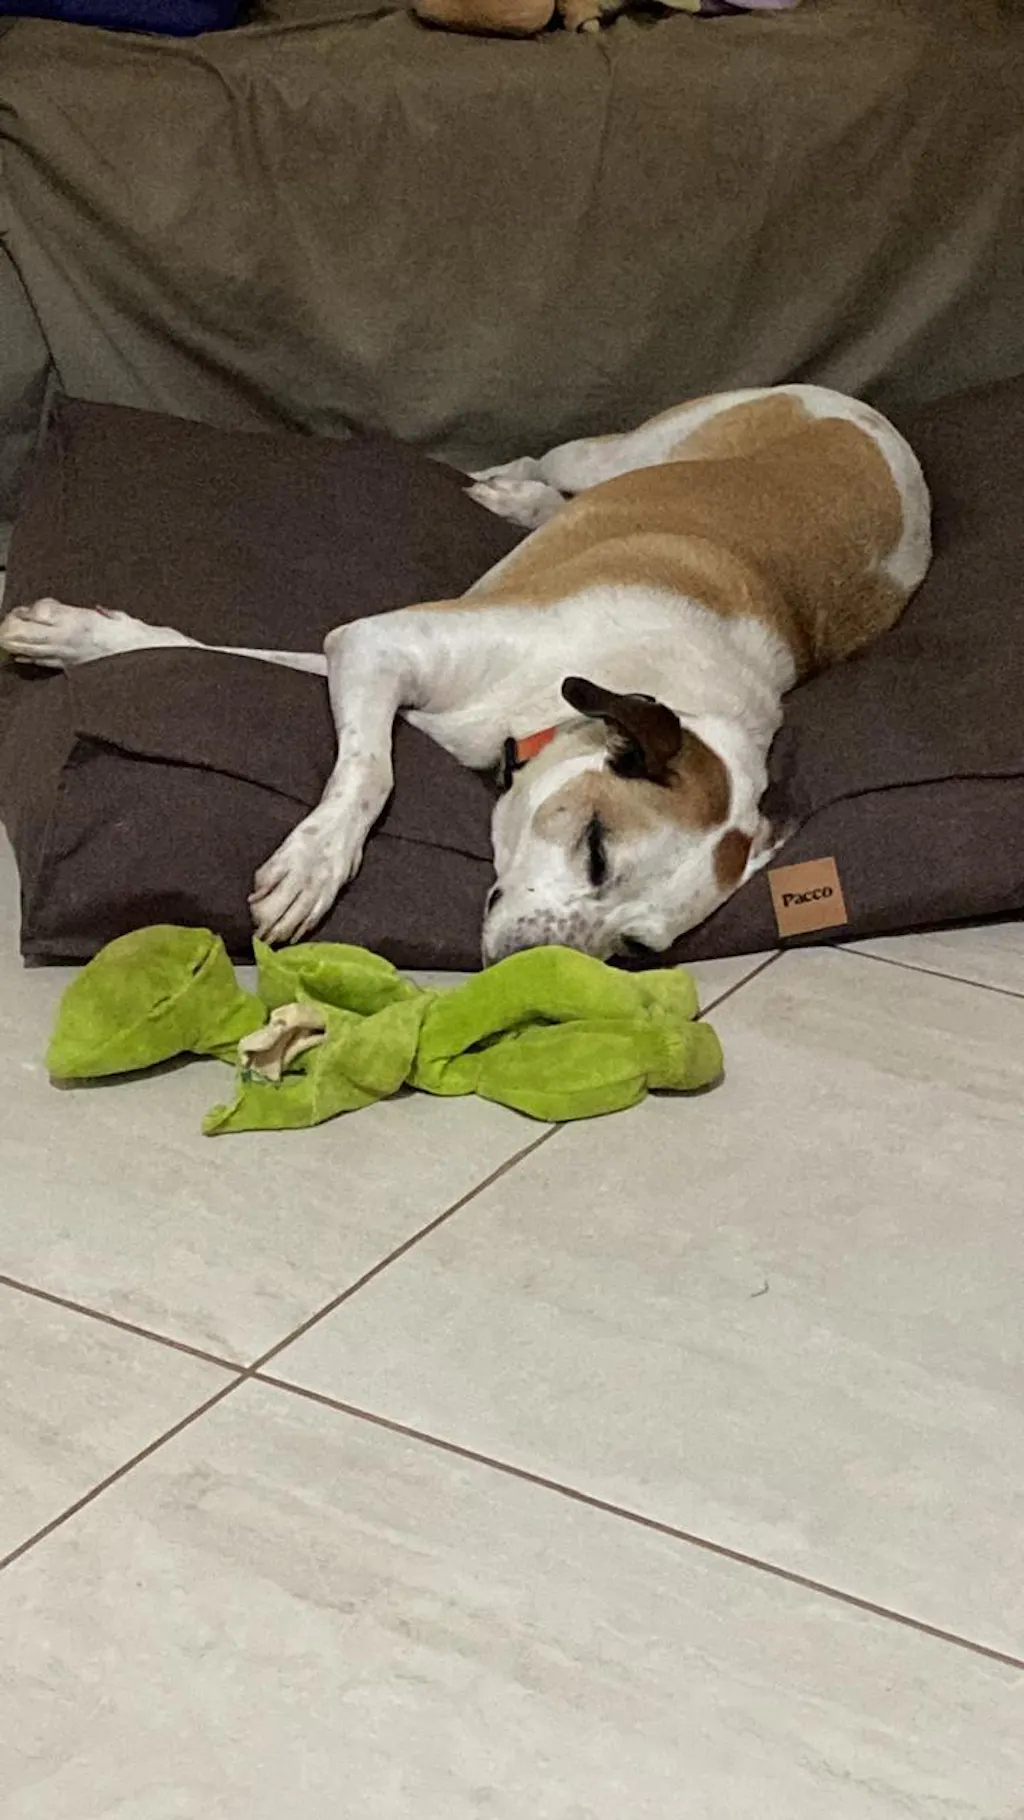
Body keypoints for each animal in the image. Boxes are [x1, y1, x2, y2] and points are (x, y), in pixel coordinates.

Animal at [0, 385, 930, 962]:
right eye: (596, 850)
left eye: (633, 950)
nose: (534, 973)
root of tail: (872, 417)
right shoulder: (377, 645)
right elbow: (368, 769)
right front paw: (314, 865)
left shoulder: (355, 657)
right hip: (614, 453)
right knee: (551, 464)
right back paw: (509, 489)